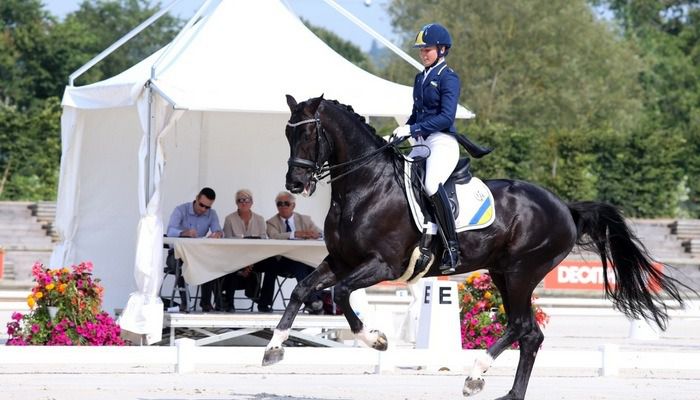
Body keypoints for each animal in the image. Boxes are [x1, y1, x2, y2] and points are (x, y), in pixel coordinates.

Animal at [262, 96, 688, 400]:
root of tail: (564, 206)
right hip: (503, 273)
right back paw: (509, 395)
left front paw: (377, 339)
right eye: (286, 133)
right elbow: (303, 289)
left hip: (520, 272)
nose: (295, 184)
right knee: (530, 334)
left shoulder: (383, 265)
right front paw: (274, 349)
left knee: (520, 326)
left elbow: (341, 293)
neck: (365, 186)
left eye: (310, 135)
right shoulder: (340, 259)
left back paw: (474, 376)